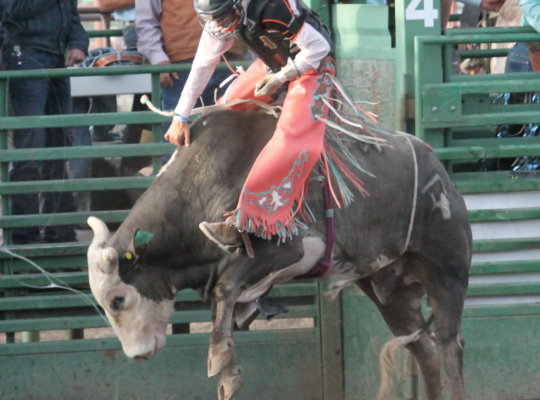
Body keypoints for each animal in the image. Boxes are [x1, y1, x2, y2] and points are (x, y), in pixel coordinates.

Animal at [87, 109, 472, 400]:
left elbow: (226, 288)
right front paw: (227, 368)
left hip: (447, 271)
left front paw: (221, 364)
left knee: (450, 348)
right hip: (391, 292)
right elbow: (224, 302)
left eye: (118, 299)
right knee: (425, 351)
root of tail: (441, 173)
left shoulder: (286, 250)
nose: (137, 355)